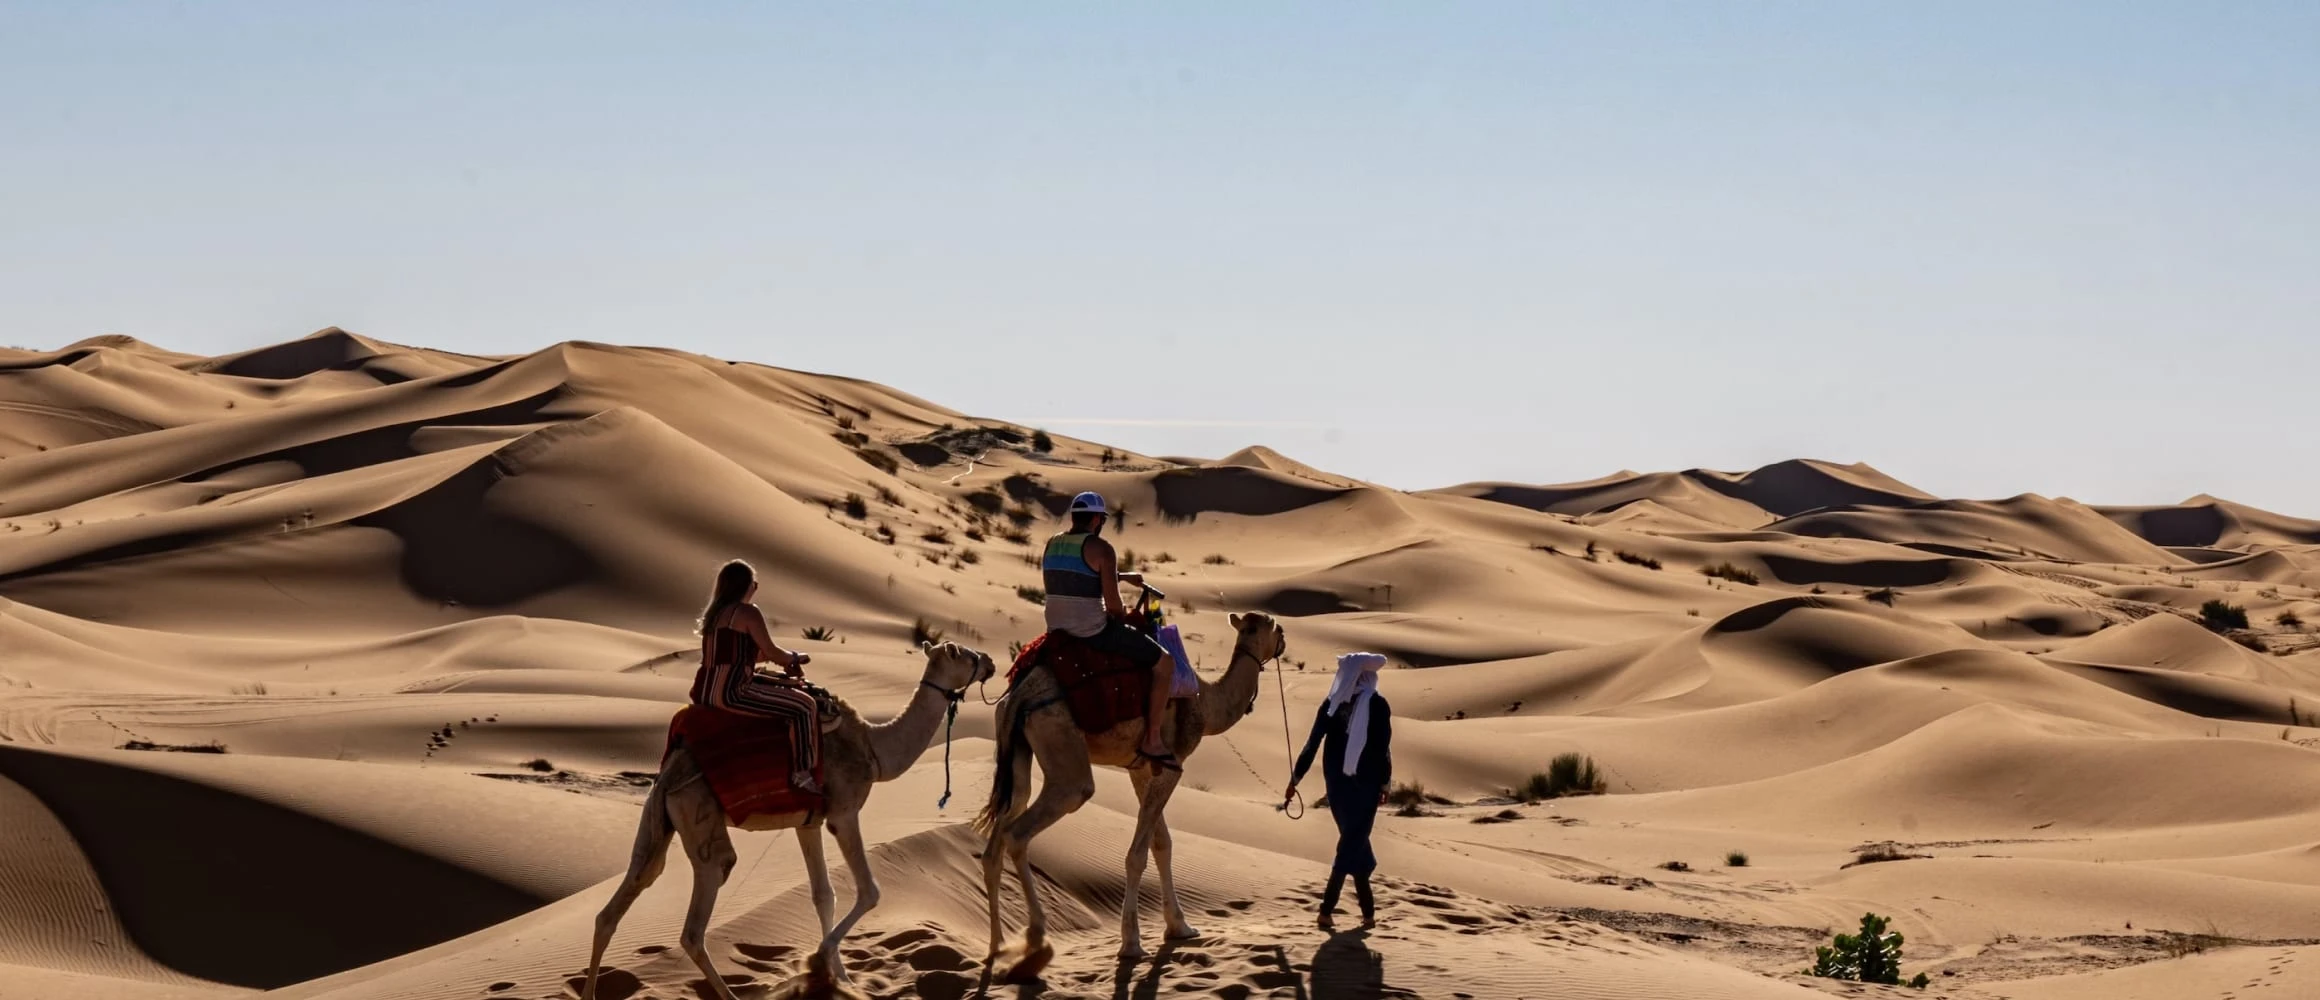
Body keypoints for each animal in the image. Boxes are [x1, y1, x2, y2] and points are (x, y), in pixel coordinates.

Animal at [584, 640, 992, 1000]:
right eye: (964, 655)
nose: (990, 662)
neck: (875, 751)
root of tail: (669, 774)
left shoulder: (807, 822)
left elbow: (823, 895)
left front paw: (841, 979)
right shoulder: (843, 812)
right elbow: (870, 890)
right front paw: (819, 961)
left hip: (657, 820)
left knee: (619, 901)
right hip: (699, 819)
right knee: (695, 924)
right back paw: (730, 994)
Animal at [974, 612, 1289, 969]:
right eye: (1277, 628)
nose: (1283, 641)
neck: (1206, 703)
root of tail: (1018, 697)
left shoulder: (1141, 768)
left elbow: (1161, 843)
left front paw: (1180, 926)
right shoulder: (1172, 764)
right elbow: (1137, 854)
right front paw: (1132, 943)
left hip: (1015, 751)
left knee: (1001, 833)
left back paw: (997, 947)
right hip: (1062, 748)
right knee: (1026, 828)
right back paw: (1036, 938)